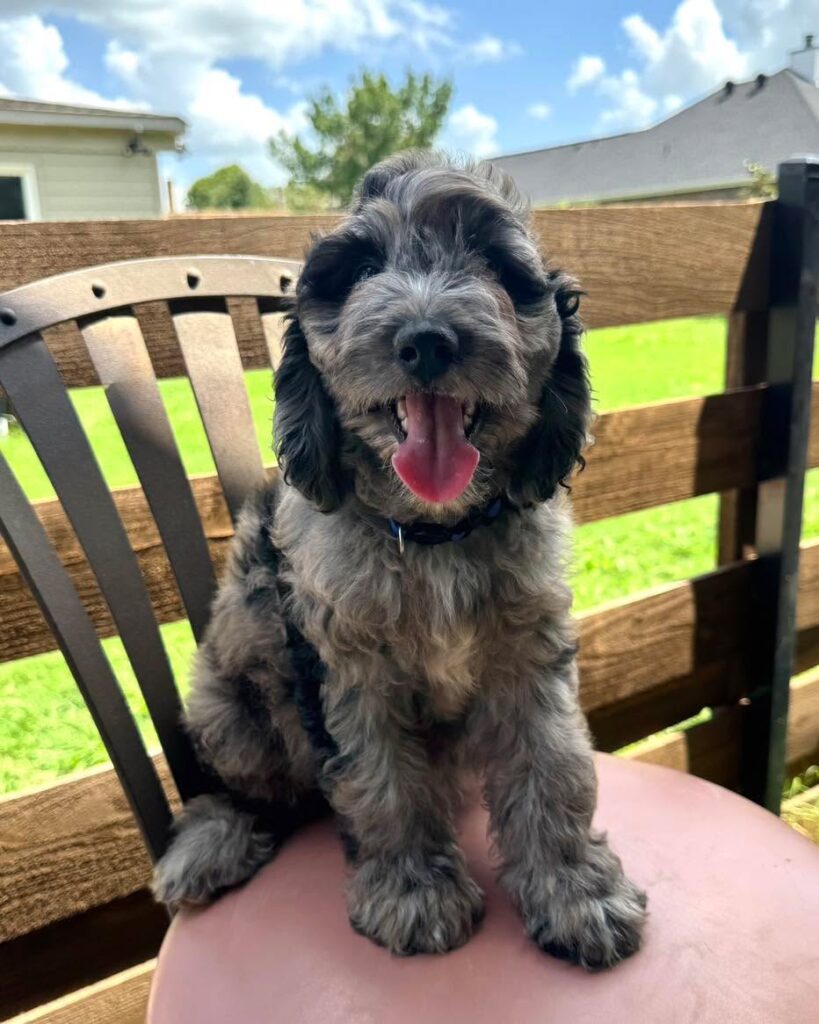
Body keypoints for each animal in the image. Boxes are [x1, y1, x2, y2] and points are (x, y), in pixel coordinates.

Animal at [153, 151, 647, 968]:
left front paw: (577, 892)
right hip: (230, 712)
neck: (432, 534)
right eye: (359, 270)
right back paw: (213, 840)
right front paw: (414, 894)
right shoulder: (343, 665)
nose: (426, 340)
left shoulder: (529, 650)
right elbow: (381, 784)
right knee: (247, 789)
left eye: (497, 268)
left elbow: (555, 763)